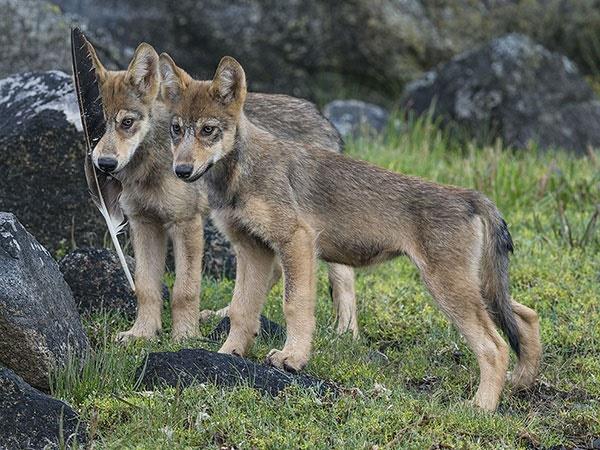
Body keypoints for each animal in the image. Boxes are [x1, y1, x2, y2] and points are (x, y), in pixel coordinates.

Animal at [83, 43, 356, 342]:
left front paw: (185, 336)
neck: (150, 165)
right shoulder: (143, 223)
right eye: (95, 126)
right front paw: (142, 333)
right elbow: (145, 287)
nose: (104, 164)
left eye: (127, 122)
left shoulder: (186, 223)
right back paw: (222, 315)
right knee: (272, 272)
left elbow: (184, 291)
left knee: (344, 278)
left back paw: (346, 332)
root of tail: (326, 123)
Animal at [159, 53, 544, 412]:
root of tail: (471, 196)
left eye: (208, 130)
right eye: (176, 129)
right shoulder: (252, 250)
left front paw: (292, 358)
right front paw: (229, 353)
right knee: (526, 317)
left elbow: (294, 306)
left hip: (449, 290)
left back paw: (481, 407)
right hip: (479, 290)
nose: (181, 170)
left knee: (495, 346)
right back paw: (521, 383)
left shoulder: (296, 242)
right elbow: (241, 311)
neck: (241, 174)